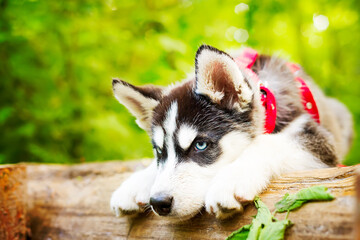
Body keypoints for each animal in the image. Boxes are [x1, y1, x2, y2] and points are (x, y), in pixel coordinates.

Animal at [109, 44, 352, 220]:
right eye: (159, 152)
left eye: (200, 145)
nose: (159, 202)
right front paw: (136, 183)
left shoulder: (316, 138)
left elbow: (268, 143)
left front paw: (232, 178)